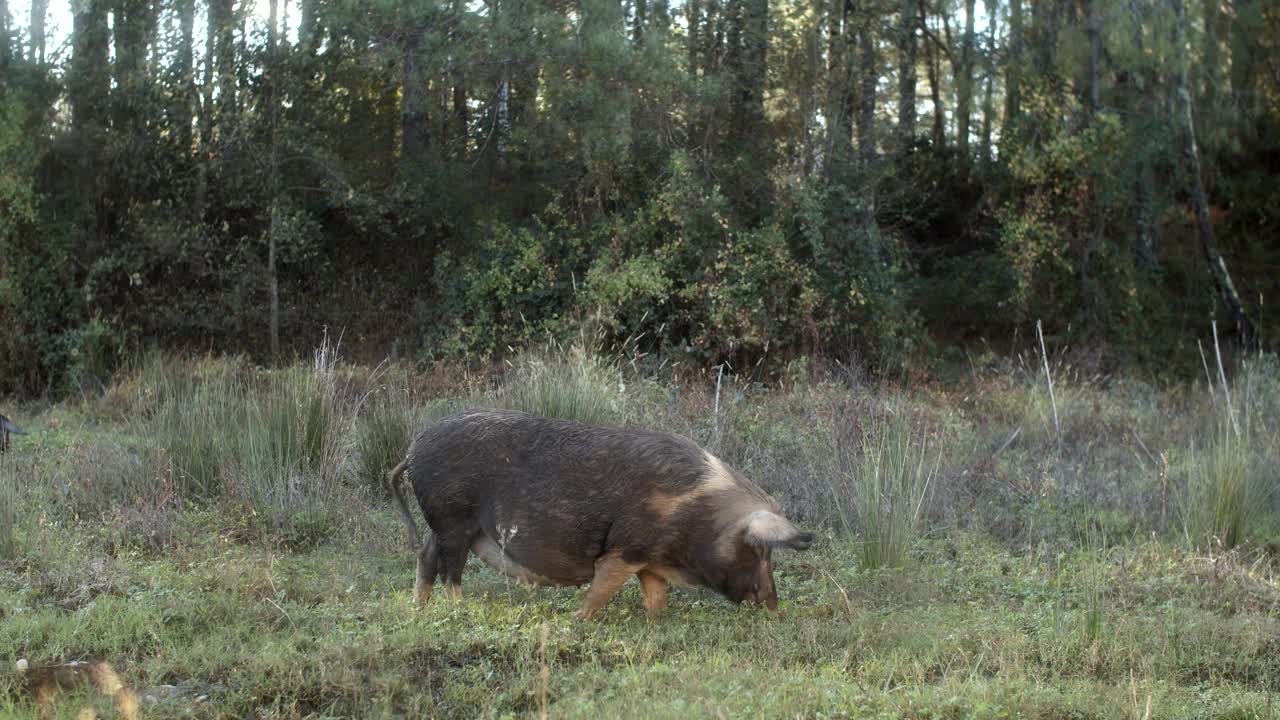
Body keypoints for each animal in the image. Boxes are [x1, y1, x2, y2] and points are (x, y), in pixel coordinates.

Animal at [384, 409, 814, 617]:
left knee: (426, 557)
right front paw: (577, 620)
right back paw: (456, 609)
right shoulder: (626, 547)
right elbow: (601, 589)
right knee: (449, 571)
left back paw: (418, 608)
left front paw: (656, 622)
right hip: (451, 517)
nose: (774, 606)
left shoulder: (650, 559)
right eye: (758, 550)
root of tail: (413, 448)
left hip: (444, 524)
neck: (696, 512)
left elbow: (656, 596)